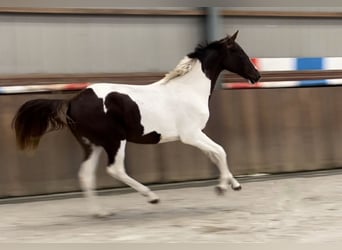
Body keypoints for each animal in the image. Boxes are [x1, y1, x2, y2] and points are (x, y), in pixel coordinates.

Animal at [12, 30, 260, 215]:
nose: (256, 76)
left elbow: (215, 154)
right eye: (239, 53)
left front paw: (233, 184)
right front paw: (222, 187)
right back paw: (151, 197)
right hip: (114, 141)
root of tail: (72, 101)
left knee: (85, 175)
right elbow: (220, 151)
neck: (188, 89)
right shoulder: (191, 135)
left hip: (92, 144)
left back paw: (101, 212)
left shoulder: (197, 134)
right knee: (115, 169)